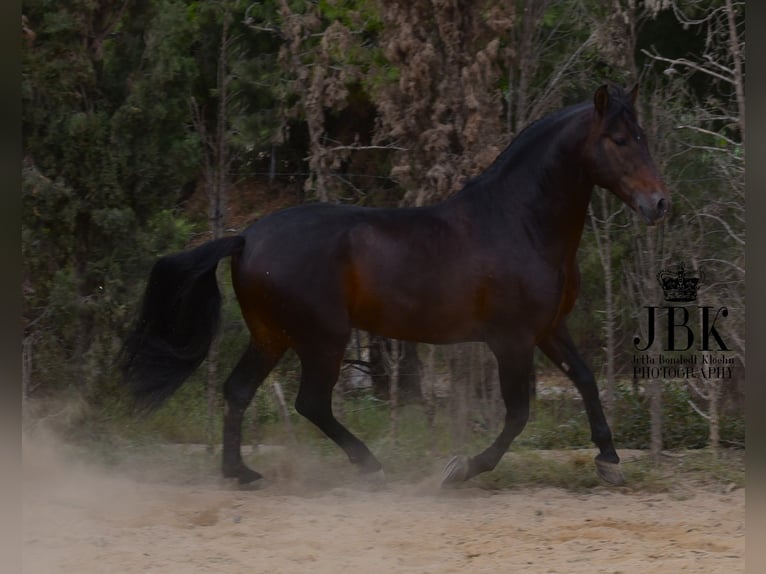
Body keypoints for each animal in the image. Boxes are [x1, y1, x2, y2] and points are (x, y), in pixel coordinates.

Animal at [123, 85, 668, 488]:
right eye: (620, 140)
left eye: (643, 135)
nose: (659, 204)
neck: (520, 223)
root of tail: (246, 237)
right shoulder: (511, 340)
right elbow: (517, 414)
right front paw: (459, 470)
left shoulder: (549, 329)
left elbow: (586, 379)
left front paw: (609, 460)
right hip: (323, 338)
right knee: (310, 402)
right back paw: (369, 466)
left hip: (272, 336)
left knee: (238, 390)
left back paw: (240, 473)